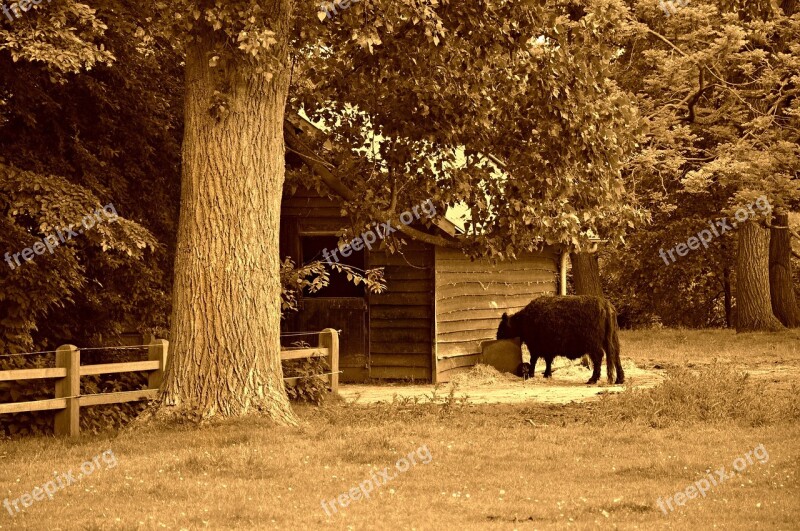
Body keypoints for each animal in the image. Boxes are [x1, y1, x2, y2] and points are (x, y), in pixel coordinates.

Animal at [494, 296, 624, 386]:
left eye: (502, 329)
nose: (497, 338)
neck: (524, 320)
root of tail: (605, 305)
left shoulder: (535, 346)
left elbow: (533, 360)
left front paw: (531, 374)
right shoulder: (547, 348)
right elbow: (548, 361)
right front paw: (547, 374)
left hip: (593, 344)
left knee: (598, 358)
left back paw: (592, 379)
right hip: (611, 340)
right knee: (615, 356)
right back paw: (620, 379)